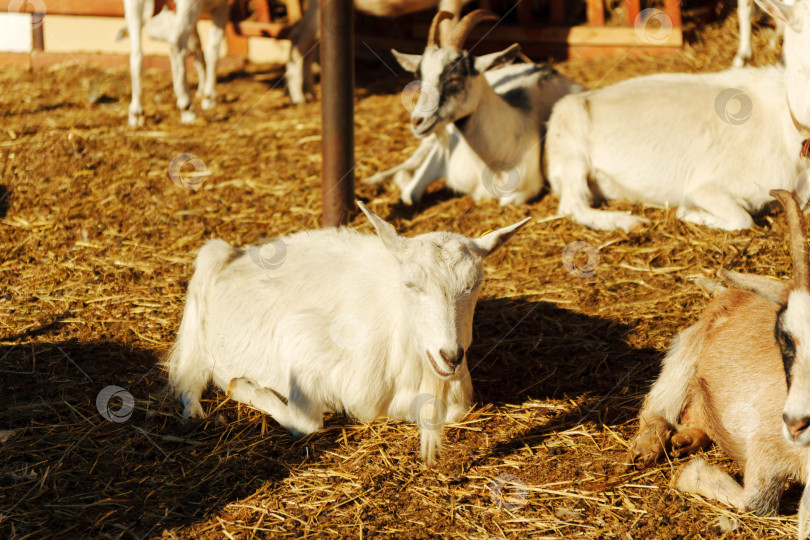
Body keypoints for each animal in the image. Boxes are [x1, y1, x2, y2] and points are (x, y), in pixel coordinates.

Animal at [165, 201, 529, 463]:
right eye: (410, 284)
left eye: (475, 285)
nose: (450, 356)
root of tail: (235, 253)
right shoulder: (300, 340)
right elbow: (307, 423)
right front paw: (242, 386)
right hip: (199, 317)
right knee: (189, 376)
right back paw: (196, 413)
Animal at [364, 10, 584, 206]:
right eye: (419, 76)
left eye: (454, 77)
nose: (417, 122)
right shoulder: (440, 156)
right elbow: (409, 194)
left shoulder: (521, 192)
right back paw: (372, 179)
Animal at [544, 0, 810, 232]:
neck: (785, 125)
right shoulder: (709, 187)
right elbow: (742, 219)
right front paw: (688, 213)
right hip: (570, 133)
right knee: (572, 205)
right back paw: (630, 222)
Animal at [631, 189, 810, 537]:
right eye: (783, 334)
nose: (797, 423)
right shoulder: (765, 448)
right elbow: (756, 504)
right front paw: (689, 475)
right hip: (686, 350)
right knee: (656, 406)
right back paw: (647, 447)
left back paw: (686, 439)